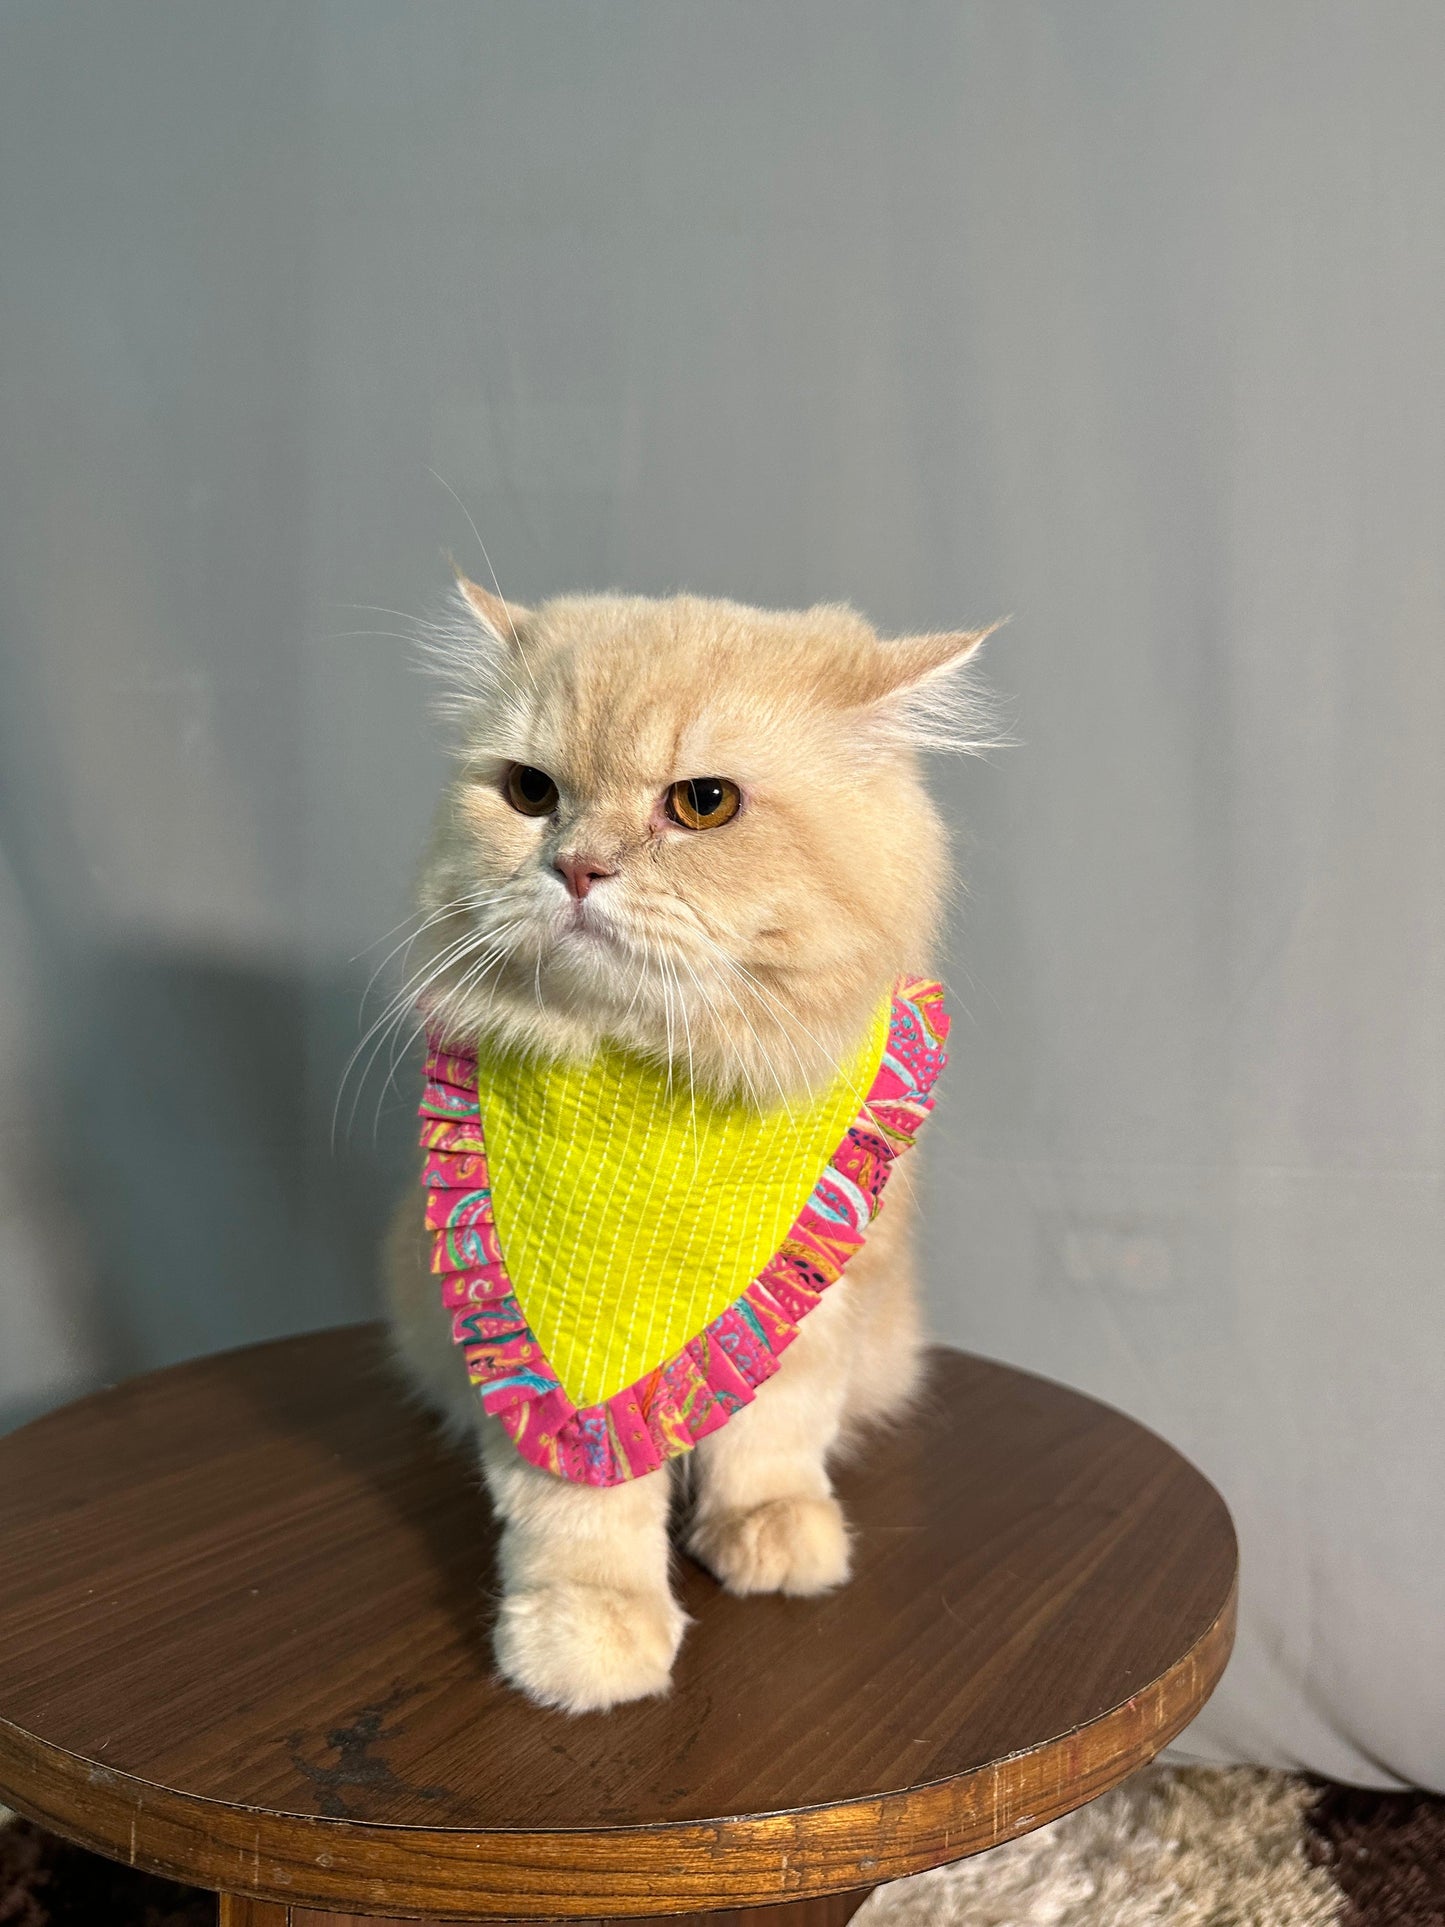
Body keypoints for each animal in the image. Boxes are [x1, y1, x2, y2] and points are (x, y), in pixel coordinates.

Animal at [385, 574, 994, 1718]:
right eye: (529, 792)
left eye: (702, 804)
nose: (575, 867)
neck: (668, 1079)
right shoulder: (532, 1355)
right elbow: (581, 1516)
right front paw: (587, 1643)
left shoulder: (812, 1294)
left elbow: (772, 1438)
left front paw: (773, 1537)